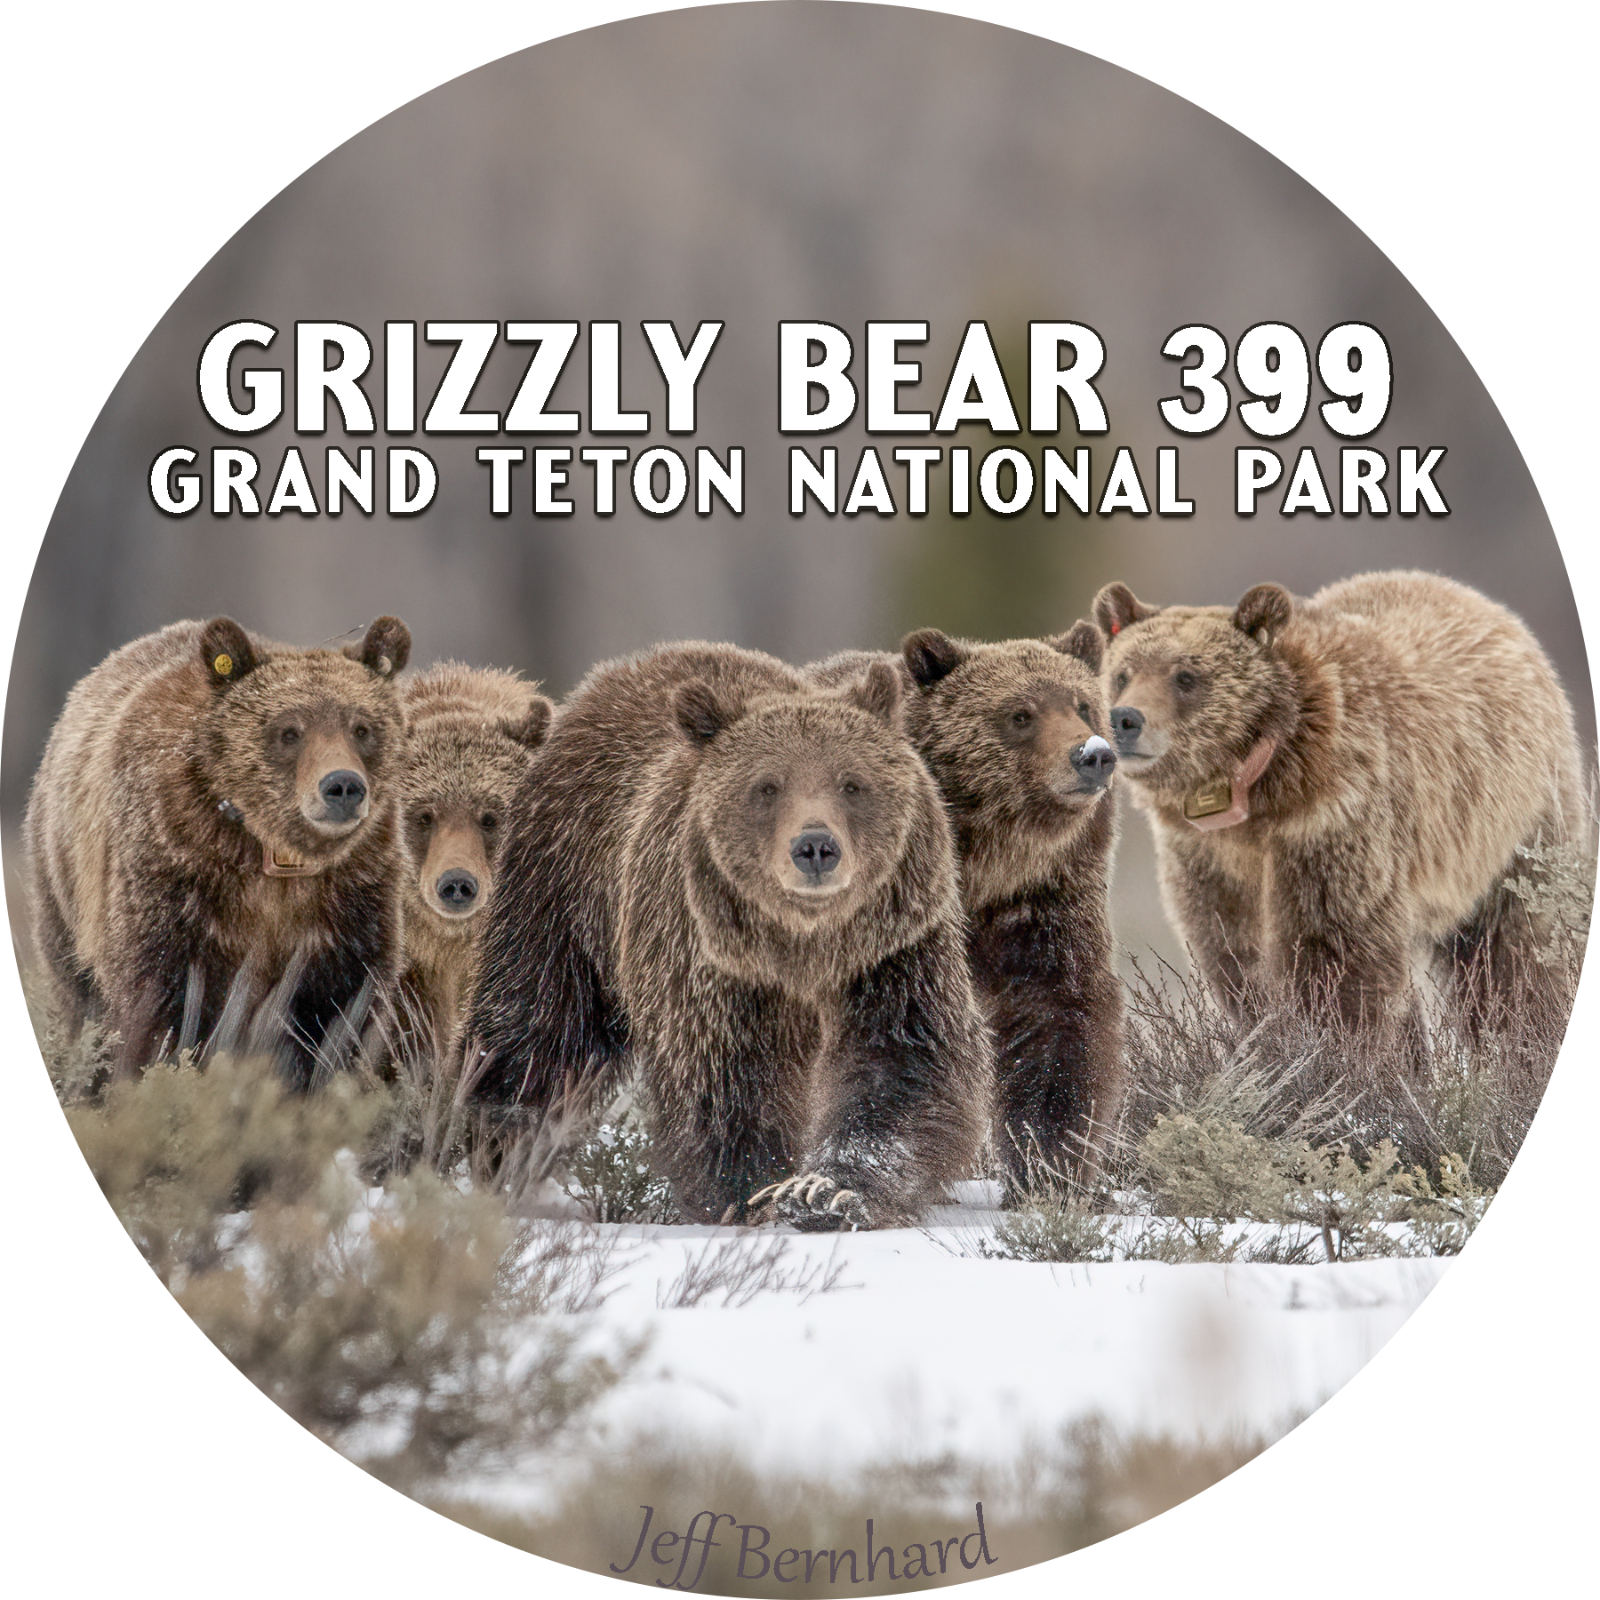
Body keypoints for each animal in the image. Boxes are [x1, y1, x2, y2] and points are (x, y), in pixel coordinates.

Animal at [25, 614, 412, 1086]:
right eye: (289, 730)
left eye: (362, 728)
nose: (342, 786)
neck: (273, 852)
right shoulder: (177, 867)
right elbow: (156, 1004)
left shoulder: (352, 898)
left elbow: (341, 1016)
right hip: (63, 884)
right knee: (79, 995)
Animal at [458, 641, 993, 1230]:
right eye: (767, 785)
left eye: (852, 782)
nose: (815, 847)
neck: (801, 942)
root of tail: (620, 671)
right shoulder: (707, 959)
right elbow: (725, 1079)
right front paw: (751, 1193)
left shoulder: (890, 948)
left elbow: (902, 1064)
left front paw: (823, 1192)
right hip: (561, 892)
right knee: (535, 1031)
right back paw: (497, 1148)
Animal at [807, 624, 1125, 1193]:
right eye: (1019, 713)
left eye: (1083, 705)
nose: (1092, 756)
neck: (985, 861)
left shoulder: (1042, 897)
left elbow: (1058, 1014)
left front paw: (1048, 1164)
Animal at [1094, 569, 1589, 1039]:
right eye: (1123, 674)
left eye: (1186, 676)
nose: (1125, 719)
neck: (1258, 787)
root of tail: (1489, 606)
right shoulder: (1209, 857)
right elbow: (1236, 955)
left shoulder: (1331, 824)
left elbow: (1340, 961)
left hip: (1513, 826)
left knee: (1513, 951)